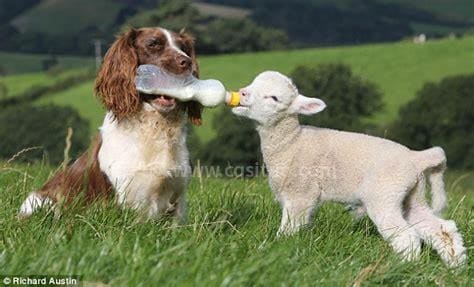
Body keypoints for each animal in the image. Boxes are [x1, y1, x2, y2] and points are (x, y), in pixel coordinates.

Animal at [19, 27, 202, 220]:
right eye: (153, 44)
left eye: (183, 47)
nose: (187, 62)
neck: (155, 127)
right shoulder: (125, 198)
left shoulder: (178, 197)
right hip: (40, 201)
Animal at [233, 71, 466, 268]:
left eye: (273, 98)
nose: (242, 93)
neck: (291, 144)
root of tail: (417, 158)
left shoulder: (300, 194)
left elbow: (289, 228)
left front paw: (274, 250)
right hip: (412, 196)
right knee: (442, 228)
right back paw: (456, 266)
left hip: (384, 195)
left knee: (406, 236)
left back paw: (402, 267)